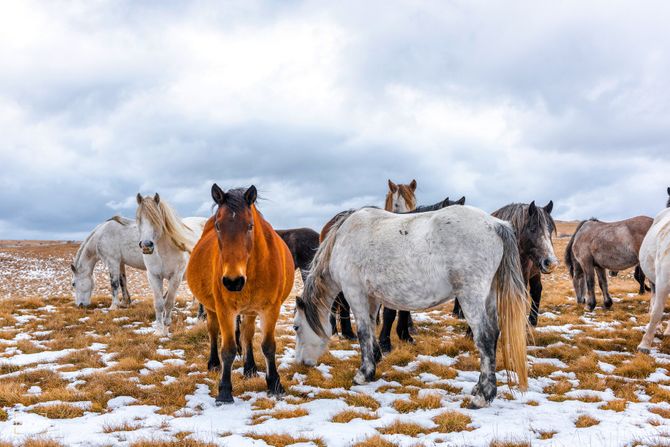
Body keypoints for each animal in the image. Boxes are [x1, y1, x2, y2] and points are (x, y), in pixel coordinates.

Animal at [136, 192, 207, 336]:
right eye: (139, 219)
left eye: (157, 219)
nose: (146, 245)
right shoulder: (154, 276)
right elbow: (159, 303)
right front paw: (159, 331)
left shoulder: (176, 277)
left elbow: (169, 302)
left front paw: (166, 327)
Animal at [188, 184, 296, 404]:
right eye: (218, 226)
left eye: (250, 226)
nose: (233, 281)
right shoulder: (225, 310)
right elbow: (228, 350)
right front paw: (224, 392)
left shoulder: (271, 309)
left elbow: (268, 346)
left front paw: (275, 384)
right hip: (212, 309)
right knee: (213, 331)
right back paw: (214, 364)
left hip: (251, 311)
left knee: (247, 334)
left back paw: (250, 368)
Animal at [294, 206, 532, 410]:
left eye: (296, 327)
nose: (301, 364)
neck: (343, 238)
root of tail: (496, 224)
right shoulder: (372, 298)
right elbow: (370, 328)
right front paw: (374, 363)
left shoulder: (355, 293)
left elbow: (363, 333)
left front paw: (363, 374)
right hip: (488, 296)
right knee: (494, 335)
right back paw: (479, 387)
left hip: (471, 297)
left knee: (485, 338)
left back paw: (483, 396)